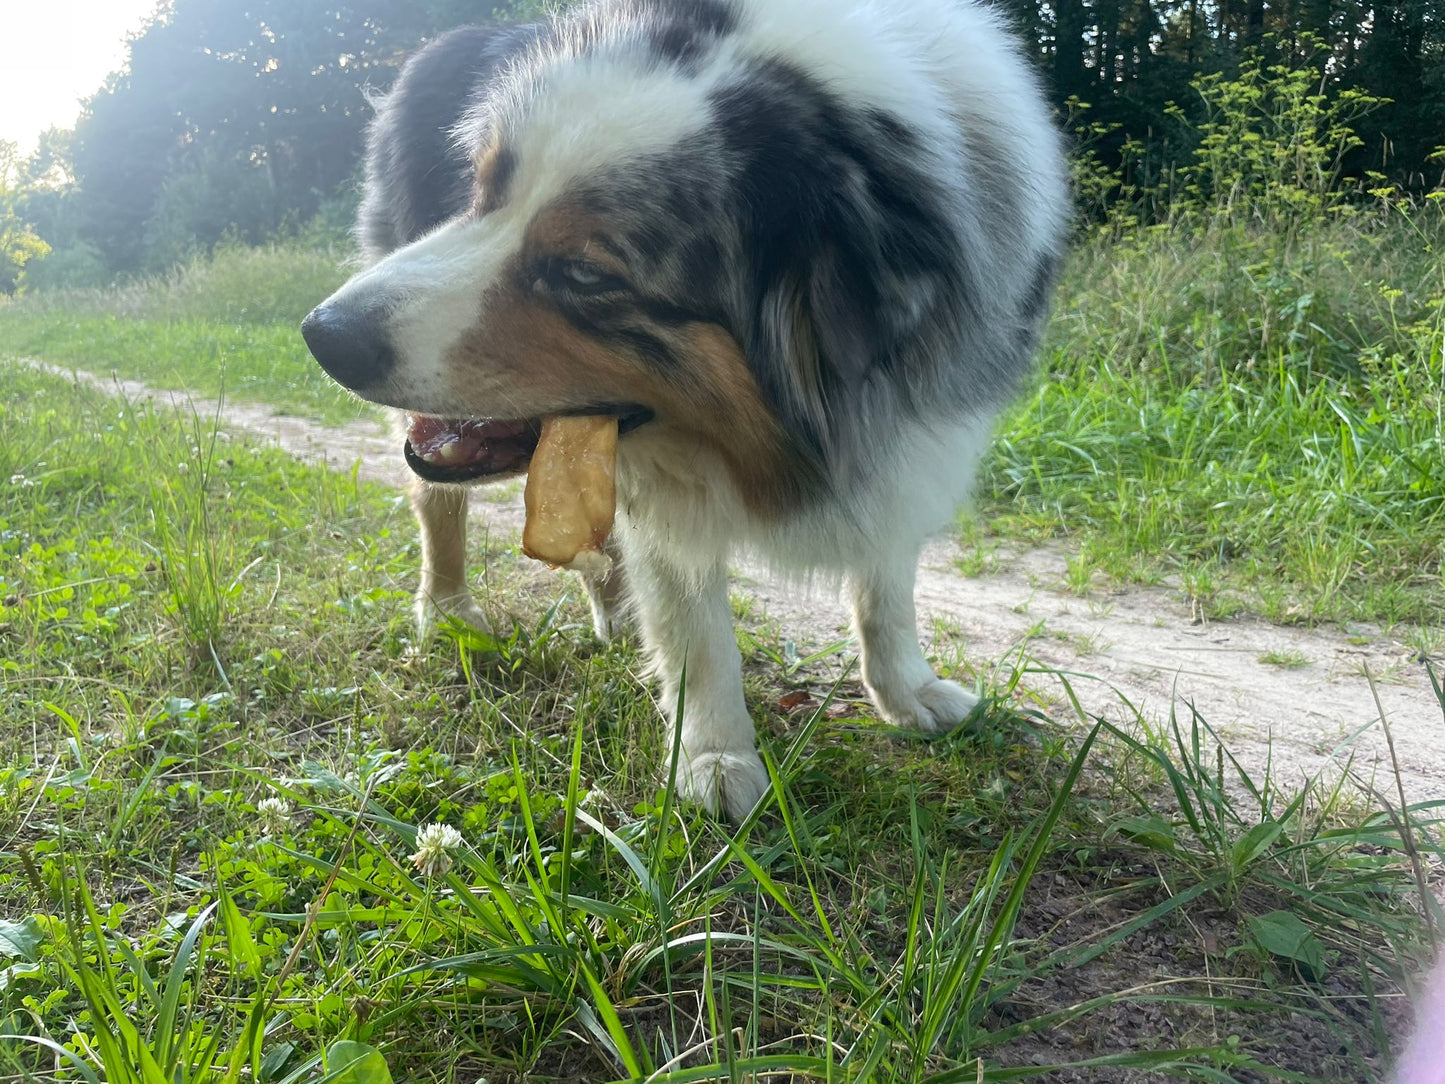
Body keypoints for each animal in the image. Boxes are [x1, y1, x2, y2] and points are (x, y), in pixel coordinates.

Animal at [302, 0, 1075, 820]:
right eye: (480, 196)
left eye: (584, 272)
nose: (323, 336)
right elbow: (697, 629)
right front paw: (715, 756)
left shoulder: (911, 437)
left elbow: (886, 583)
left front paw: (908, 690)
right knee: (436, 500)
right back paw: (449, 610)